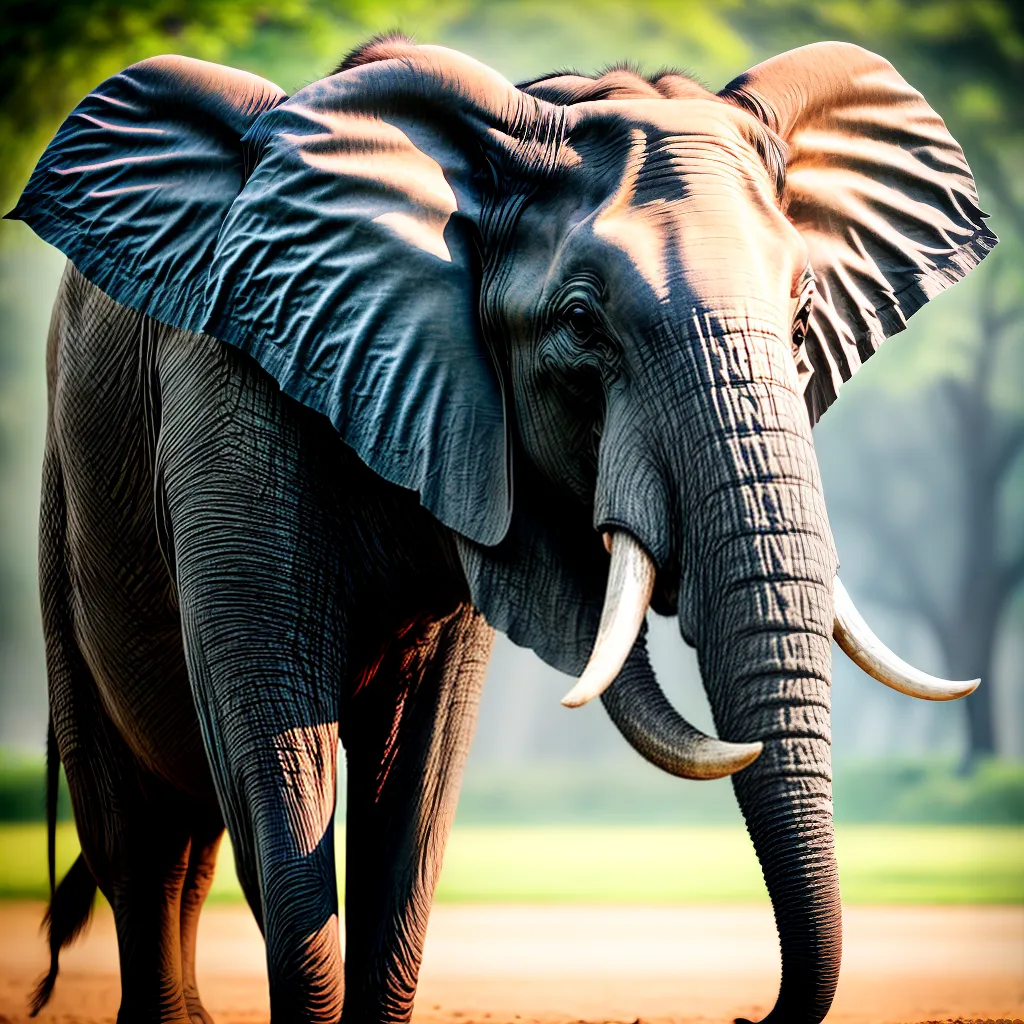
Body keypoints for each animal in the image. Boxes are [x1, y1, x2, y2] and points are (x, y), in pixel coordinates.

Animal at [9, 32, 991, 1024]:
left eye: (802, 319)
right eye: (581, 324)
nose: (745, 1013)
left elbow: (419, 774)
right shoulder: (233, 389)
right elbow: (278, 744)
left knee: (184, 838)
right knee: (135, 832)